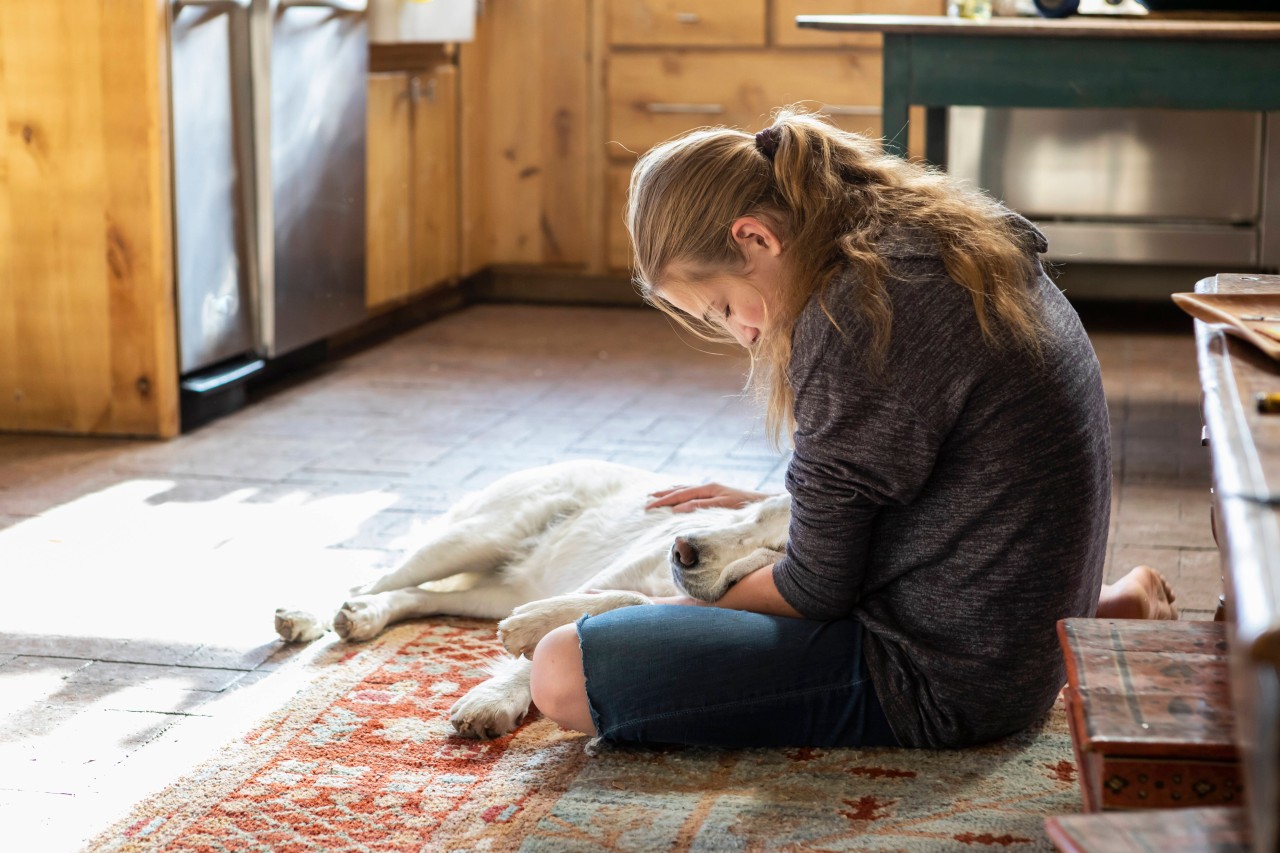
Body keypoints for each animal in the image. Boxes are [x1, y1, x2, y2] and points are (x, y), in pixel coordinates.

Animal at [273, 458, 783, 737]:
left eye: (778, 549)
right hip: (477, 537)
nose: (681, 549)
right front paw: (493, 697)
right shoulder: (603, 577)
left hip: (499, 588)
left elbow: (617, 605)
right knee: (373, 579)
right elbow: (561, 630)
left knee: (415, 595)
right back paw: (307, 617)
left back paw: (363, 616)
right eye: (753, 516)